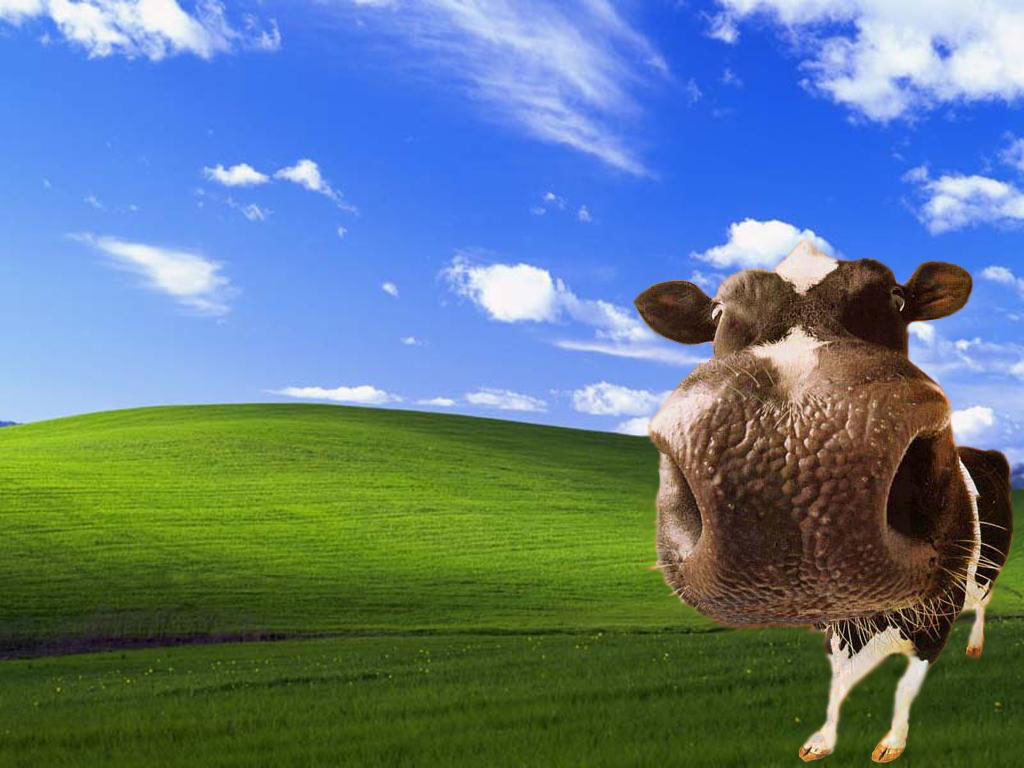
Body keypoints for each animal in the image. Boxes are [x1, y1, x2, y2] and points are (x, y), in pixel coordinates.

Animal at [634, 242, 1013, 763]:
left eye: (897, 298)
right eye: (716, 314)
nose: (793, 454)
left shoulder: (937, 618)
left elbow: (904, 689)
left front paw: (891, 743)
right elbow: (837, 686)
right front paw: (822, 740)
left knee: (984, 600)